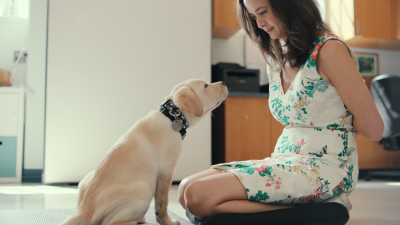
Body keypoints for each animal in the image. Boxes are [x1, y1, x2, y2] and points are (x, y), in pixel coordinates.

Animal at [59, 79, 228, 225]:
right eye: (205, 85)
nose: (223, 82)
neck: (171, 116)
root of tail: (84, 212)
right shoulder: (165, 173)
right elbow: (162, 205)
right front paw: (168, 222)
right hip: (144, 190)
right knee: (116, 223)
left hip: (87, 179)